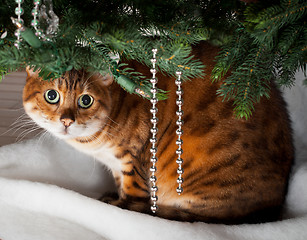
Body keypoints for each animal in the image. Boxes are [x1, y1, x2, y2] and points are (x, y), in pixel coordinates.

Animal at [23, 42, 294, 224]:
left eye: (85, 100)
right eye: (51, 95)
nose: (66, 121)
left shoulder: (134, 160)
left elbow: (133, 197)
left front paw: (118, 206)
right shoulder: (116, 165)